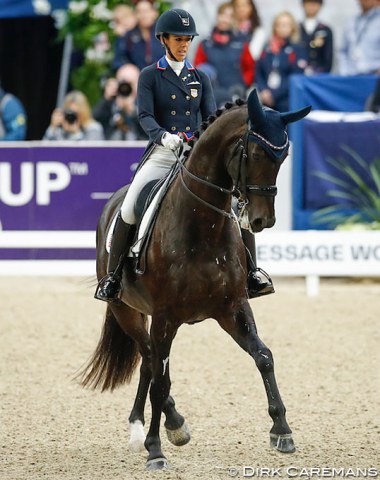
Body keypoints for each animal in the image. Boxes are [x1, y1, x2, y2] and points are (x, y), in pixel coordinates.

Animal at [81, 89, 310, 468]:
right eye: (256, 152)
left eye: (284, 156)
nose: (262, 221)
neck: (202, 225)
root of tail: (114, 201)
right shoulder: (165, 317)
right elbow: (161, 381)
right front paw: (155, 450)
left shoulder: (233, 308)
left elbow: (263, 356)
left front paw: (282, 431)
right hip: (125, 310)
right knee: (150, 362)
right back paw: (157, 427)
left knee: (149, 364)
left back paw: (159, 425)